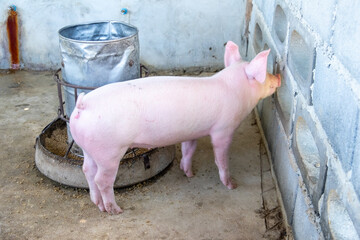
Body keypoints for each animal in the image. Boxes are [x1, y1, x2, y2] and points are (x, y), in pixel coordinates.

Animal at [68, 40, 282, 214]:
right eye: (264, 74)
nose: (279, 77)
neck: (234, 89)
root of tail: (83, 104)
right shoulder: (223, 129)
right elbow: (221, 157)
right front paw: (232, 185)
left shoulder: (192, 132)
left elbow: (189, 150)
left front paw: (189, 173)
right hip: (109, 150)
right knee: (101, 179)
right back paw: (115, 210)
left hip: (90, 148)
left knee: (87, 170)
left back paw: (98, 204)